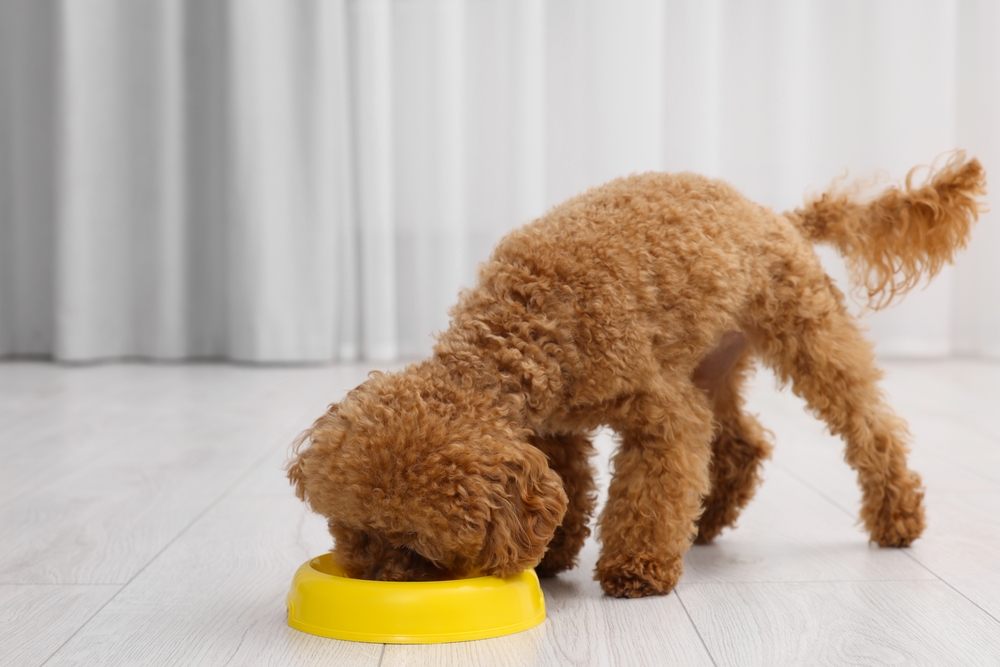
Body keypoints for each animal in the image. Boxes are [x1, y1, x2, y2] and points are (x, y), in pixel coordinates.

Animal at [288, 153, 984, 600]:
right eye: (351, 527)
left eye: (417, 544)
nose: (374, 581)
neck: (525, 327)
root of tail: (781, 217)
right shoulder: (551, 431)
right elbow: (572, 490)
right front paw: (554, 556)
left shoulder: (659, 411)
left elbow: (649, 493)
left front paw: (637, 568)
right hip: (713, 363)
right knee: (743, 442)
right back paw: (708, 521)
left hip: (807, 338)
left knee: (870, 426)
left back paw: (897, 518)